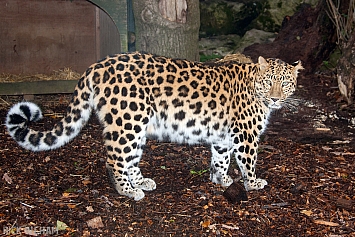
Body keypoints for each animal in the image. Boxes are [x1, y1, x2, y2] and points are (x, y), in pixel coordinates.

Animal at [5, 51, 304, 200]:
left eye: (286, 83)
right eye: (269, 82)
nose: (276, 98)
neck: (254, 85)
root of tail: (97, 65)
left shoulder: (223, 136)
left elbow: (221, 158)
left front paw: (221, 179)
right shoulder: (246, 135)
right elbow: (248, 161)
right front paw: (252, 183)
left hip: (135, 124)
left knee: (129, 158)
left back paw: (142, 182)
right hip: (127, 121)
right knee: (113, 159)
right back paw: (128, 191)